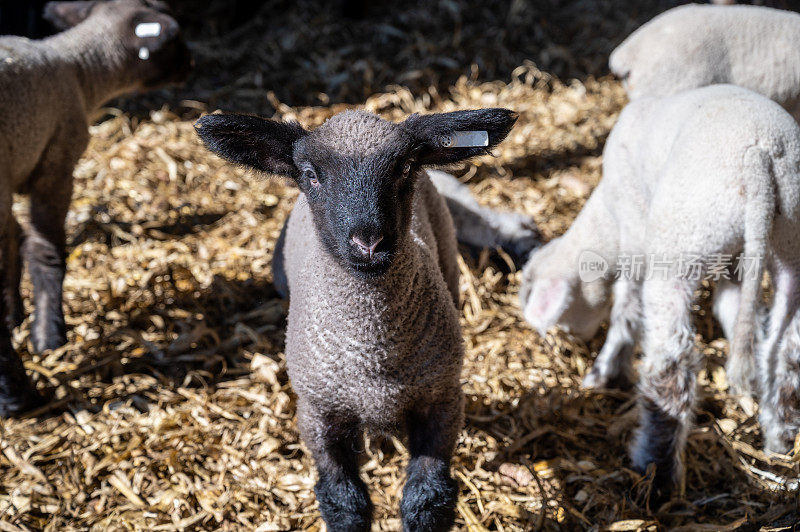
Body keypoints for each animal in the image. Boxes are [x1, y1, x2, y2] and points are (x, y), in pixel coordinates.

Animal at [0, 0, 191, 416]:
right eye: (176, 40)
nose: (192, 63)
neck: (75, 66)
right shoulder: (56, 162)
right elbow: (45, 250)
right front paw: (49, 337)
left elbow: (17, 246)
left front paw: (21, 317)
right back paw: (18, 396)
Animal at [520, 83, 800, 494]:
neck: (606, 217)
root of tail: (760, 154)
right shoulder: (733, 259)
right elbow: (732, 309)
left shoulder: (635, 233)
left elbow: (626, 307)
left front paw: (605, 372)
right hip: (790, 244)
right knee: (787, 351)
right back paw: (780, 442)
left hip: (680, 243)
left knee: (673, 362)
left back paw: (656, 473)